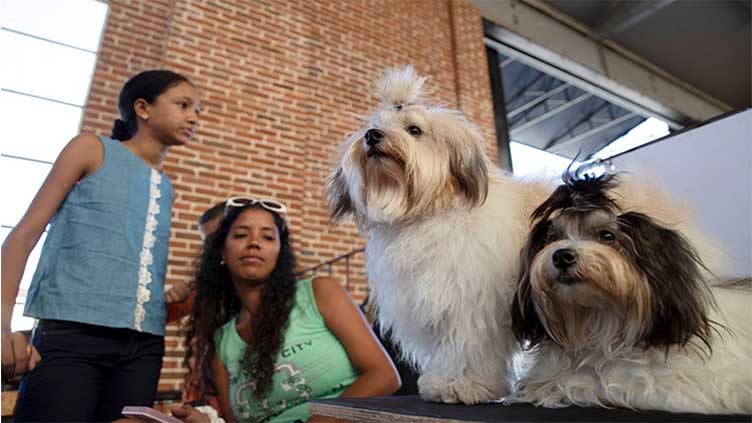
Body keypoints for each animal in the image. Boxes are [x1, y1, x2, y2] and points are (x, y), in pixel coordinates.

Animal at [326, 66, 548, 404]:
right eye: (374, 126)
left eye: (414, 130)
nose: (371, 136)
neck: (428, 213)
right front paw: (444, 381)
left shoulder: (470, 303)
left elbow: (468, 345)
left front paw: (464, 385)